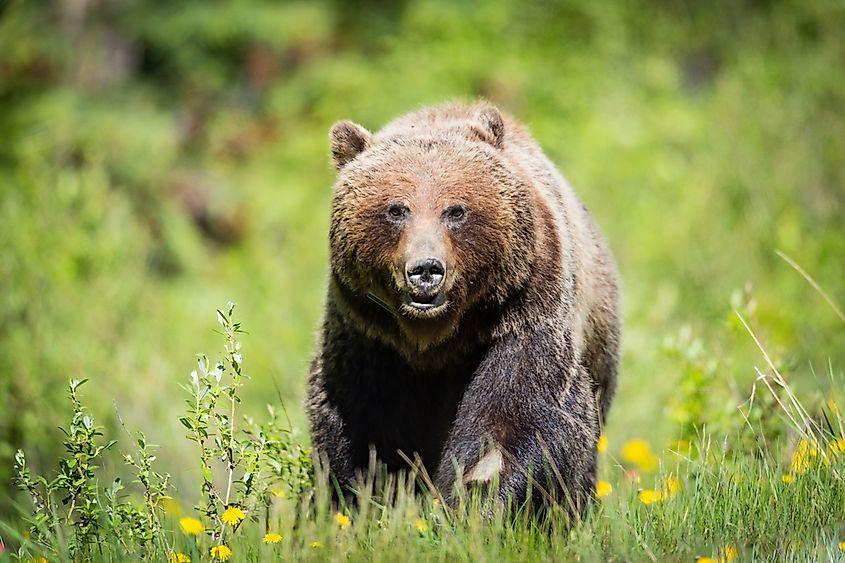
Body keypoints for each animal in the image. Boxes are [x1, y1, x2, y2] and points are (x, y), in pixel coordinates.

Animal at [306, 101, 620, 514]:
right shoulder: (369, 333)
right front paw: (366, 499)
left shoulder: (522, 315)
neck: (434, 337)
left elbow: (518, 420)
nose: (425, 270)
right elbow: (363, 426)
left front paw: (476, 500)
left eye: (455, 211)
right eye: (396, 209)